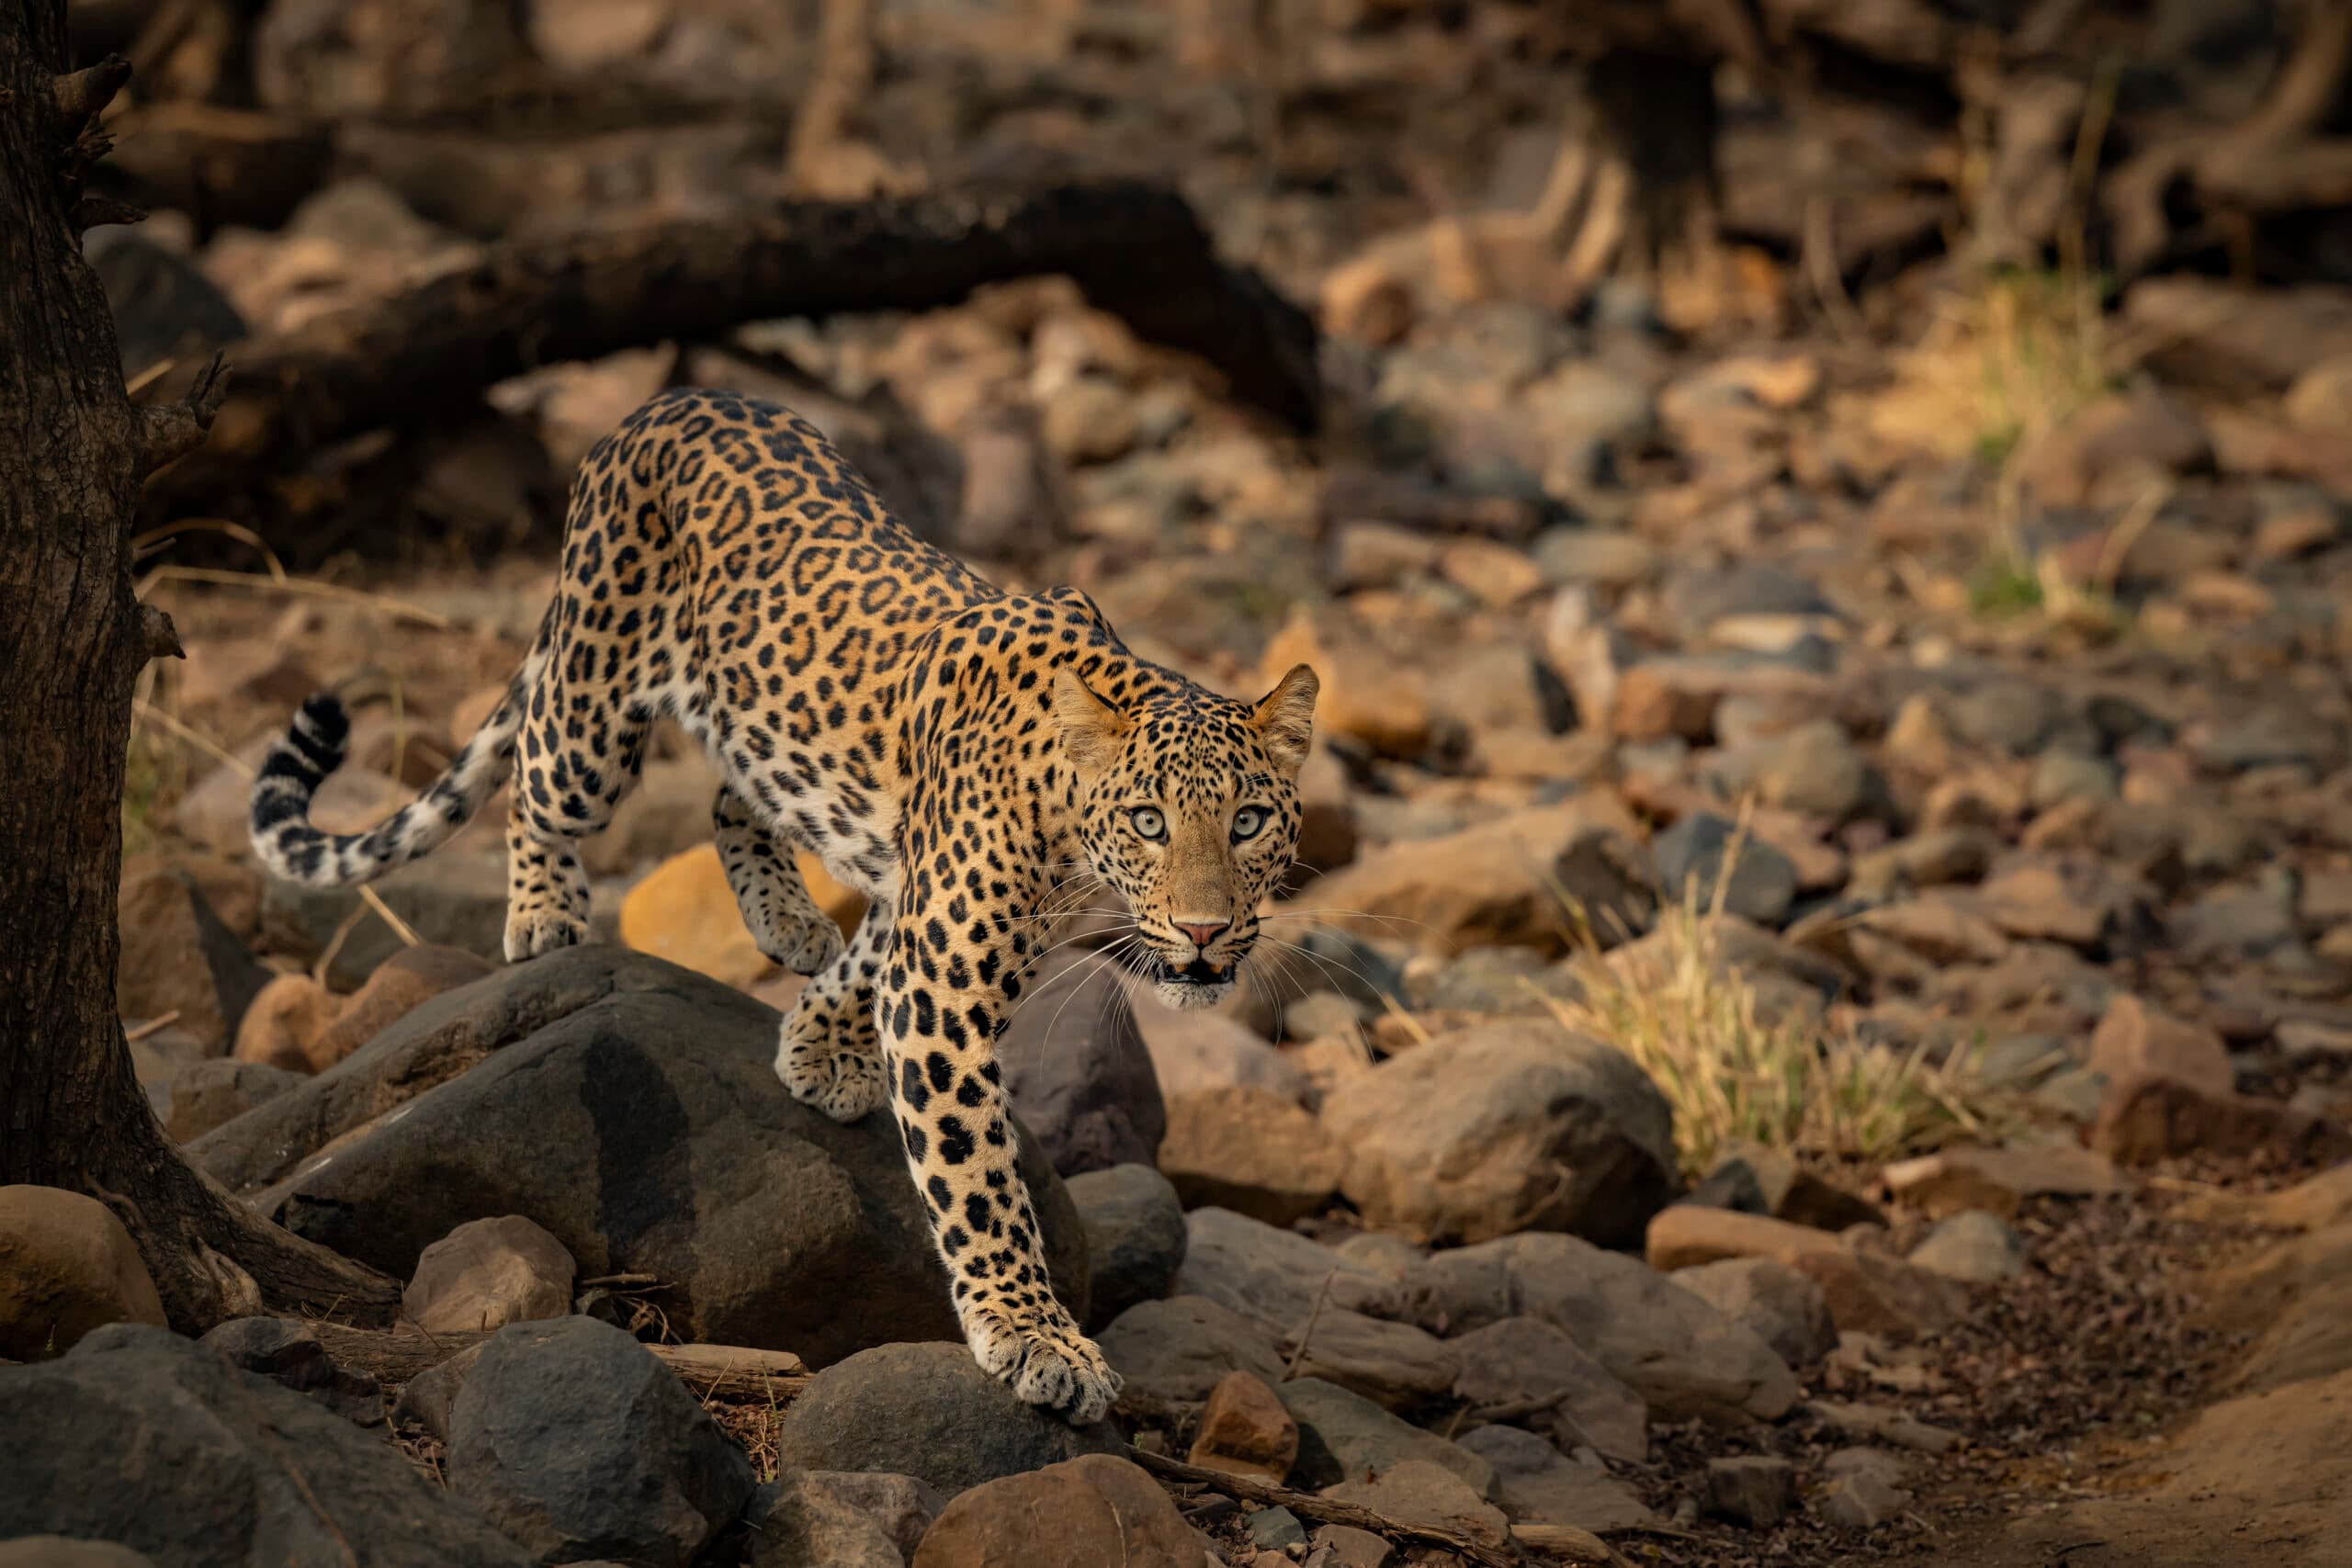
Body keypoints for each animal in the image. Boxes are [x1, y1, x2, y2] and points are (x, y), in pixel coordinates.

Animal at [248, 385, 1320, 1425]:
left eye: (1250, 821)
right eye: (1148, 821)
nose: (1204, 929)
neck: (1068, 820)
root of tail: (670, 400)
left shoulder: (921, 909)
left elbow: (868, 957)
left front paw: (818, 1046)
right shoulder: (942, 989)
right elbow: (979, 1178)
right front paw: (1037, 1340)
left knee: (735, 790)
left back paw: (786, 921)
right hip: (592, 710)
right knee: (535, 775)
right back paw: (545, 908)